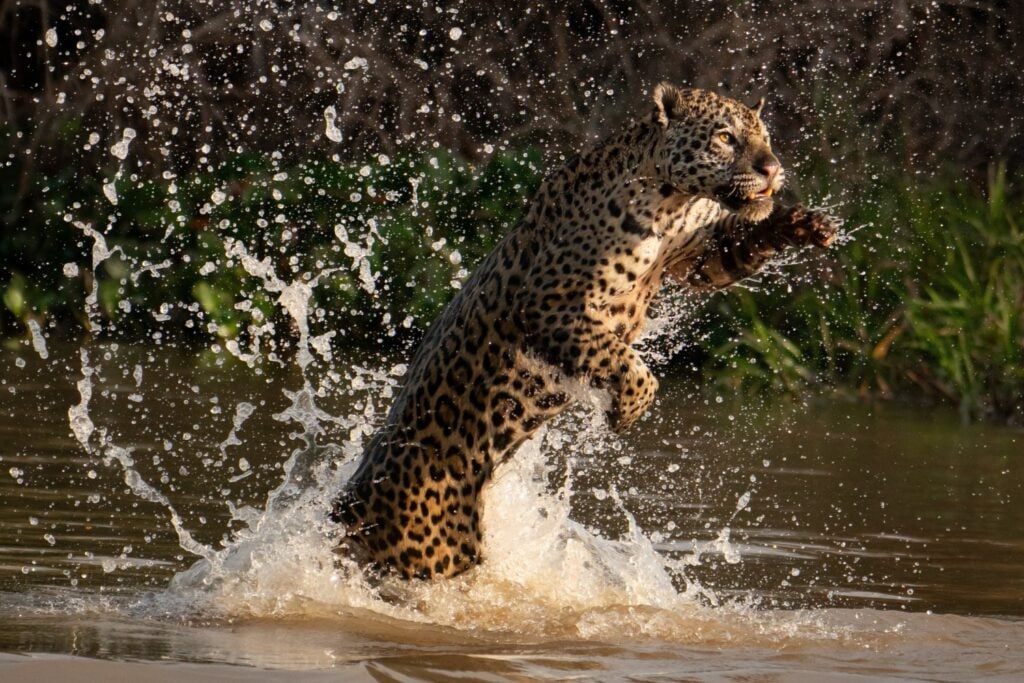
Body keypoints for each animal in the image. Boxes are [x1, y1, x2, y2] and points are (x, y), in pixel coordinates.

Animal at [330, 83, 838, 580]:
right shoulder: (551, 305)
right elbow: (627, 364)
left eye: (765, 137)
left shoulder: (698, 256)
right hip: (433, 557)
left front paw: (806, 222)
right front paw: (626, 412)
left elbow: (741, 240)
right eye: (726, 137)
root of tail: (352, 503)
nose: (772, 168)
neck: (673, 203)